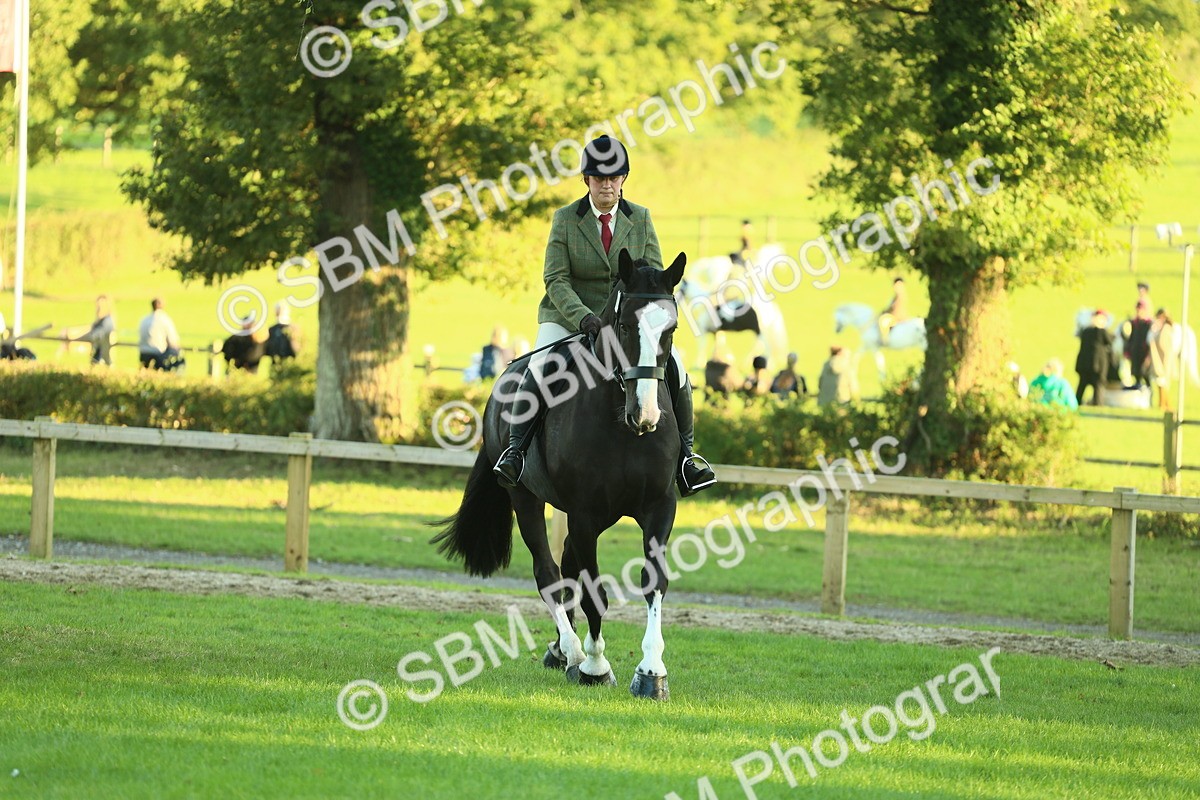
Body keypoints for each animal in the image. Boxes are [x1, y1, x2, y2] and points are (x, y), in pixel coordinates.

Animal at [432, 249, 687, 702]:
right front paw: (596, 665)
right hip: (526, 498)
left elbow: (653, 580)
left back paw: (559, 649)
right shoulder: (584, 513)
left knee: (566, 564)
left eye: (670, 328)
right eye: (625, 326)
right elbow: (594, 593)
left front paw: (651, 672)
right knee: (549, 572)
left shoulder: (659, 507)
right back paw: (571, 651)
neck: (621, 423)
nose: (645, 416)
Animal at [676, 243, 789, 372]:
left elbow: (702, 346)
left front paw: (699, 365)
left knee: (763, 348)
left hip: (760, 331)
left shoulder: (703, 330)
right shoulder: (716, 332)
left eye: (679, 288)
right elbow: (718, 344)